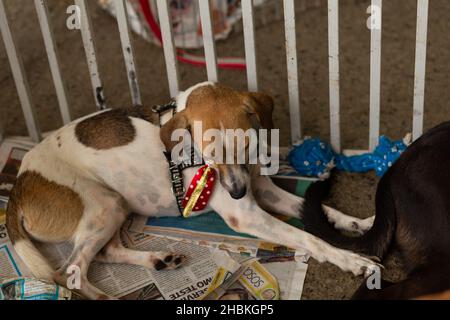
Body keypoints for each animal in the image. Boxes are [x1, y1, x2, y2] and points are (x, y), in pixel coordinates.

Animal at [6, 82, 376, 300]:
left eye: (246, 147)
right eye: (209, 157)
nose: (238, 193)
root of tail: (19, 186)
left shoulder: (262, 188)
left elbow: (322, 211)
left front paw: (359, 223)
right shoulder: (246, 215)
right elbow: (309, 238)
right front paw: (350, 259)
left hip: (115, 208)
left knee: (105, 253)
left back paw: (158, 259)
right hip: (102, 206)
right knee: (70, 271)